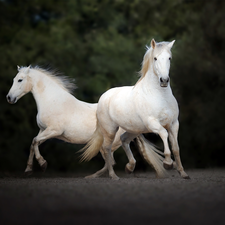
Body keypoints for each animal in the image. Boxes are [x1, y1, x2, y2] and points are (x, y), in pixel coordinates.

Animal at [6, 65, 166, 178]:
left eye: (20, 80)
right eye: (13, 79)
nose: (9, 98)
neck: (53, 102)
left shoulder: (54, 131)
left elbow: (34, 141)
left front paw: (43, 164)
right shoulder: (43, 130)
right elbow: (34, 143)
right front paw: (28, 170)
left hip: (109, 143)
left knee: (111, 161)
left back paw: (98, 176)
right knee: (110, 161)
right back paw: (95, 176)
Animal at [80, 38, 189, 179]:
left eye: (169, 58)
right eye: (155, 58)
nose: (164, 80)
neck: (161, 96)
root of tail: (103, 98)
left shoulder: (174, 124)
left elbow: (176, 148)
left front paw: (183, 173)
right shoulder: (153, 123)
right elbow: (164, 134)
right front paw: (168, 163)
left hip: (134, 130)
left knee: (123, 140)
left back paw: (130, 167)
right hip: (110, 130)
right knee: (106, 148)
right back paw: (113, 176)